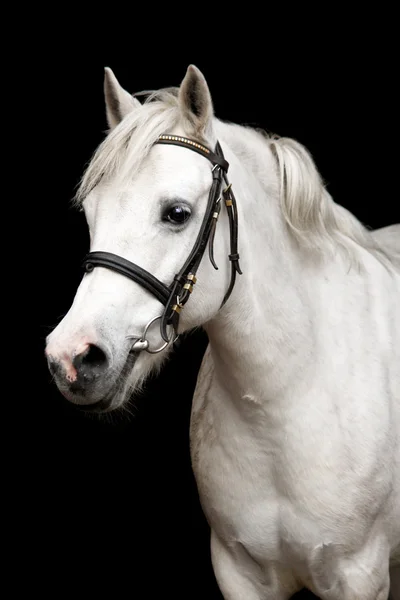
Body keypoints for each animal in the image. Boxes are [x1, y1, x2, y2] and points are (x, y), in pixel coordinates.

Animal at [45, 65, 398, 600]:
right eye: (90, 215)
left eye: (176, 213)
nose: (71, 358)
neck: (286, 404)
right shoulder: (238, 571)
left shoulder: (361, 576)